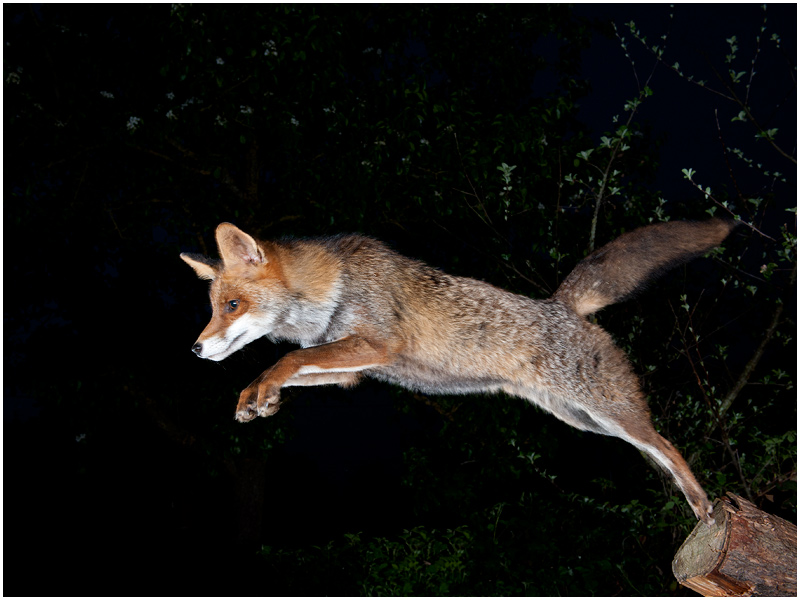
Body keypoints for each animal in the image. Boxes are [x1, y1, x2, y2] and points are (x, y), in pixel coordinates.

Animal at [181, 218, 736, 526]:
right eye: (212, 307)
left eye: (232, 305)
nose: (196, 349)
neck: (332, 289)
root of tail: (561, 305)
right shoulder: (355, 368)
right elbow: (285, 368)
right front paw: (258, 397)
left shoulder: (377, 343)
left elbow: (286, 359)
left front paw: (262, 390)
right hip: (585, 421)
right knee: (656, 451)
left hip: (609, 411)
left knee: (669, 446)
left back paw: (705, 505)